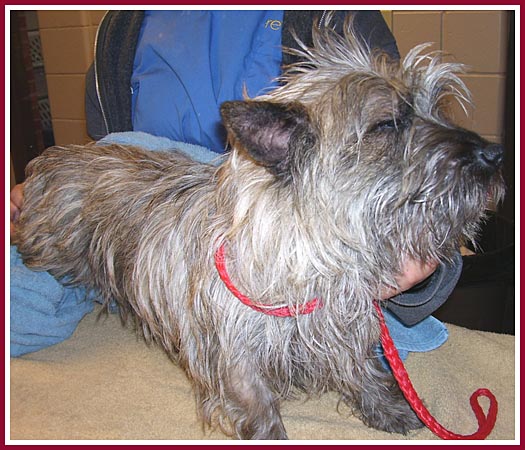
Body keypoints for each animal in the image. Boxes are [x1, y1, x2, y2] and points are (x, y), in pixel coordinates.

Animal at [13, 18, 504, 440]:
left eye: (433, 107)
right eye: (388, 124)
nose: (495, 155)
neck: (307, 254)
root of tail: (58, 155)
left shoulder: (341, 325)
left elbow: (360, 368)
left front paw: (385, 407)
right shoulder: (235, 354)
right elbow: (258, 405)